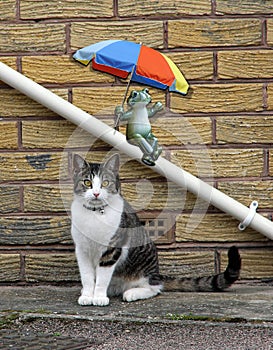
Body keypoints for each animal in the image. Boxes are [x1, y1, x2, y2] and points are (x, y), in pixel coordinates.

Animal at [70, 153, 240, 306]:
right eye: (87, 183)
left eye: (105, 183)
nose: (96, 193)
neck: (94, 214)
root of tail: (157, 274)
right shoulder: (82, 249)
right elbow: (87, 276)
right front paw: (87, 296)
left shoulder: (112, 249)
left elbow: (102, 277)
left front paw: (98, 297)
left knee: (155, 287)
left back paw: (132, 293)